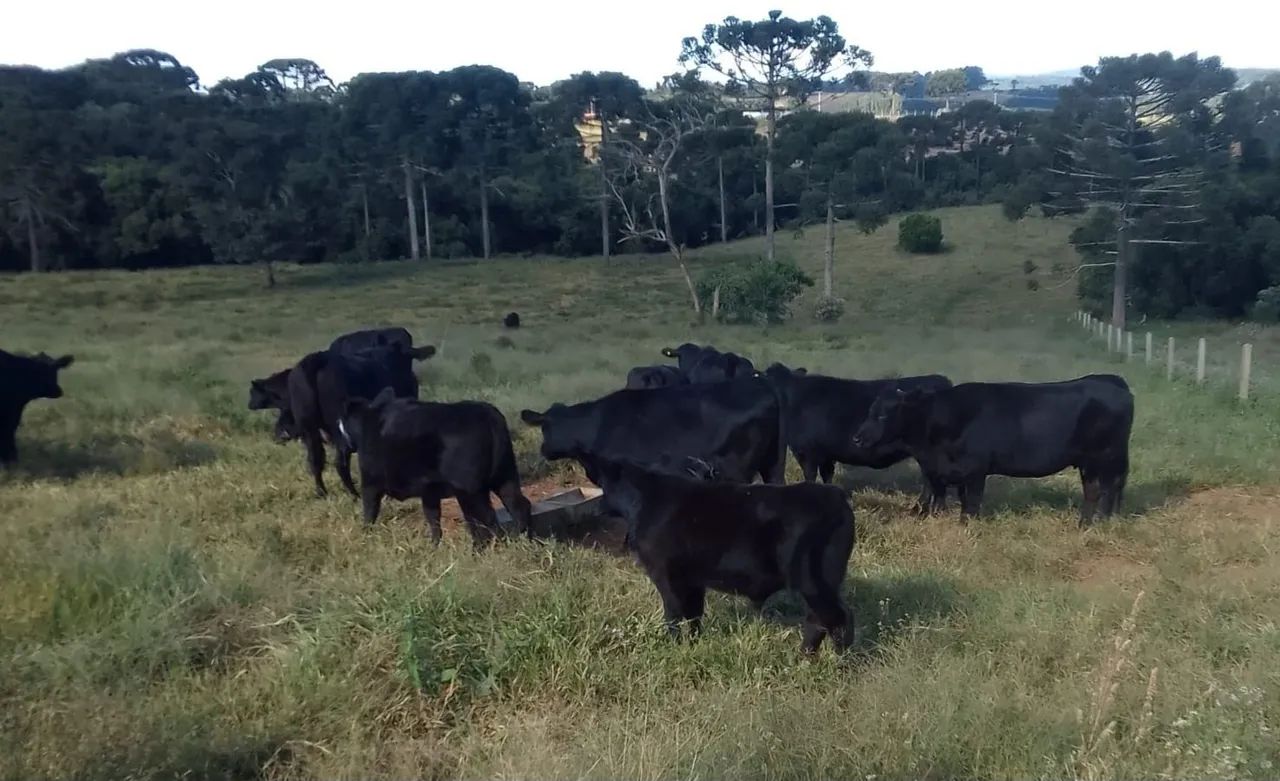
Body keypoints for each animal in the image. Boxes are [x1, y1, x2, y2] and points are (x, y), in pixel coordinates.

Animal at [288, 342, 436, 497]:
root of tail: (318, 359)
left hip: (308, 428)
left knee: (315, 460)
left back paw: (322, 492)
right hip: (338, 429)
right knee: (340, 463)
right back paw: (354, 494)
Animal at [338, 388, 533, 546]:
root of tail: (488, 415)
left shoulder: (370, 482)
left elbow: (369, 512)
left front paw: (365, 536)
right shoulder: (429, 491)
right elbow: (433, 519)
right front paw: (434, 545)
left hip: (470, 491)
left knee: (485, 520)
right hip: (505, 477)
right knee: (518, 506)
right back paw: (522, 540)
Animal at [594, 458, 856, 655]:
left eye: (603, 487)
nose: (596, 507)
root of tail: (835, 496)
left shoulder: (664, 574)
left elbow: (673, 613)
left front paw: (674, 646)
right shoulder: (692, 580)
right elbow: (694, 613)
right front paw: (694, 643)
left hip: (814, 580)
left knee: (837, 617)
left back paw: (838, 661)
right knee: (819, 620)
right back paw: (805, 658)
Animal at [851, 374, 1134, 526]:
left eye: (884, 414)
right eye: (870, 410)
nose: (857, 438)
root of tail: (1110, 380)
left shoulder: (976, 470)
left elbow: (972, 503)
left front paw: (967, 526)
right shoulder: (950, 471)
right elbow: (958, 498)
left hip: (1107, 456)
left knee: (1108, 489)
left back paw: (1102, 522)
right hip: (1090, 462)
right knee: (1094, 490)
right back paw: (1084, 524)